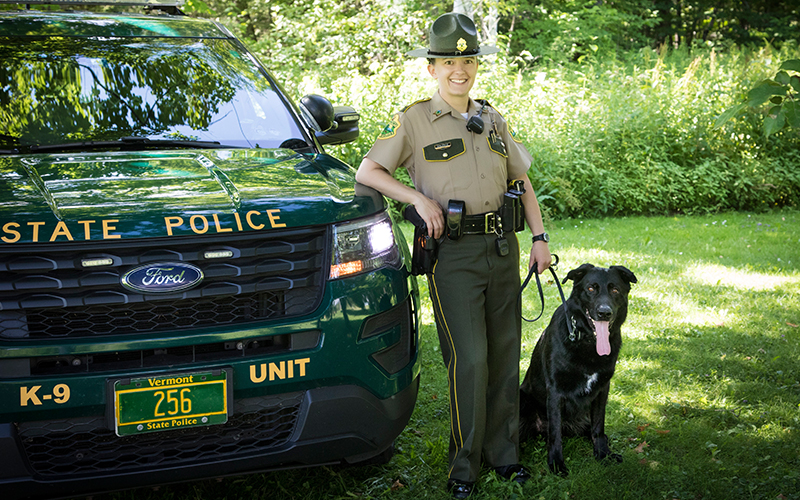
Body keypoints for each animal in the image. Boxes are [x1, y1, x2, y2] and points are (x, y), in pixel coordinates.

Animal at [520, 264, 636, 474]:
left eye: (615, 290)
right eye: (591, 288)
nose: (604, 313)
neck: (588, 341)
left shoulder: (602, 390)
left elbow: (599, 428)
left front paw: (603, 455)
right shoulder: (555, 391)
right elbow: (555, 433)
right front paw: (556, 463)